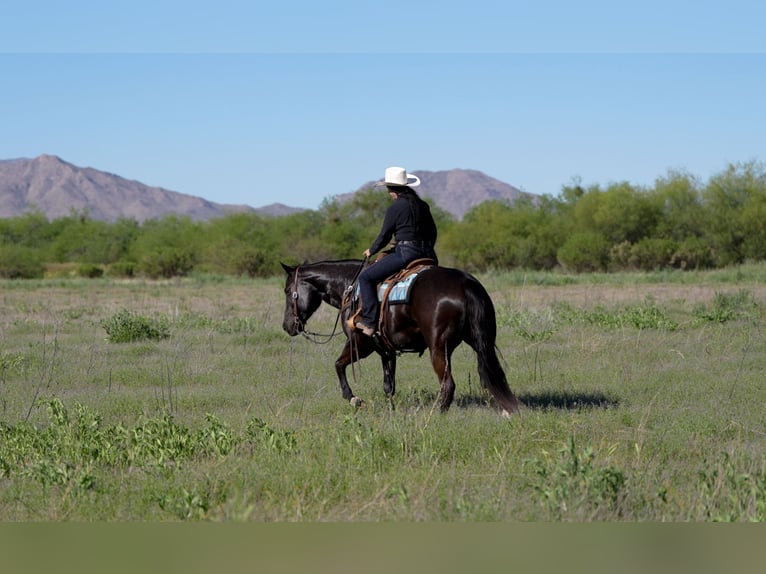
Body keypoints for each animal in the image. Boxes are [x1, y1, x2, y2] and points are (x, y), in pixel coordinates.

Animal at [280, 259, 521, 416]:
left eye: (287, 291)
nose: (287, 326)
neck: (351, 286)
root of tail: (466, 284)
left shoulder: (361, 344)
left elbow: (338, 365)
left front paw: (354, 399)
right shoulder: (386, 349)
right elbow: (389, 385)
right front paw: (391, 410)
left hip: (438, 349)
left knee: (448, 385)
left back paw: (435, 415)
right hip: (482, 343)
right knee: (489, 376)